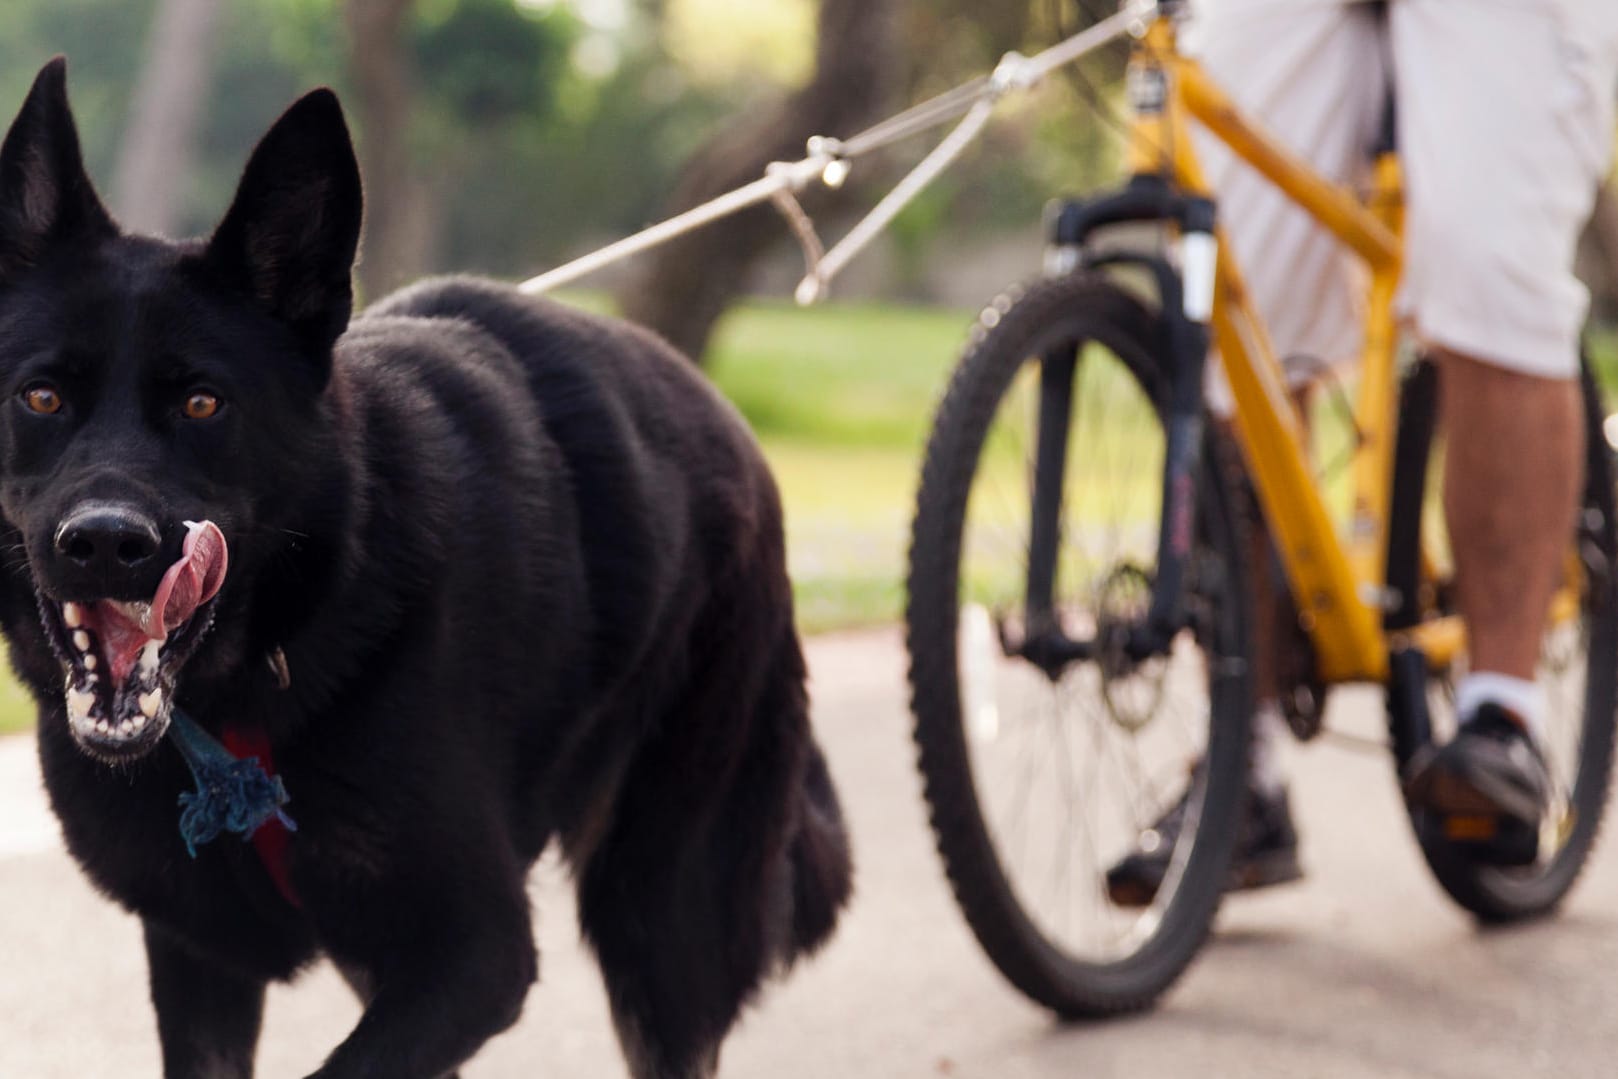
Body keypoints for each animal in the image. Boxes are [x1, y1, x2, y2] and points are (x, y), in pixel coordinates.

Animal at [0, 61, 854, 1079]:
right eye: (40, 397)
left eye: (204, 403)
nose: (103, 542)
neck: (252, 695)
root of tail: (721, 414)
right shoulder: (203, 962)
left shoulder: (472, 956)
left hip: (662, 923)